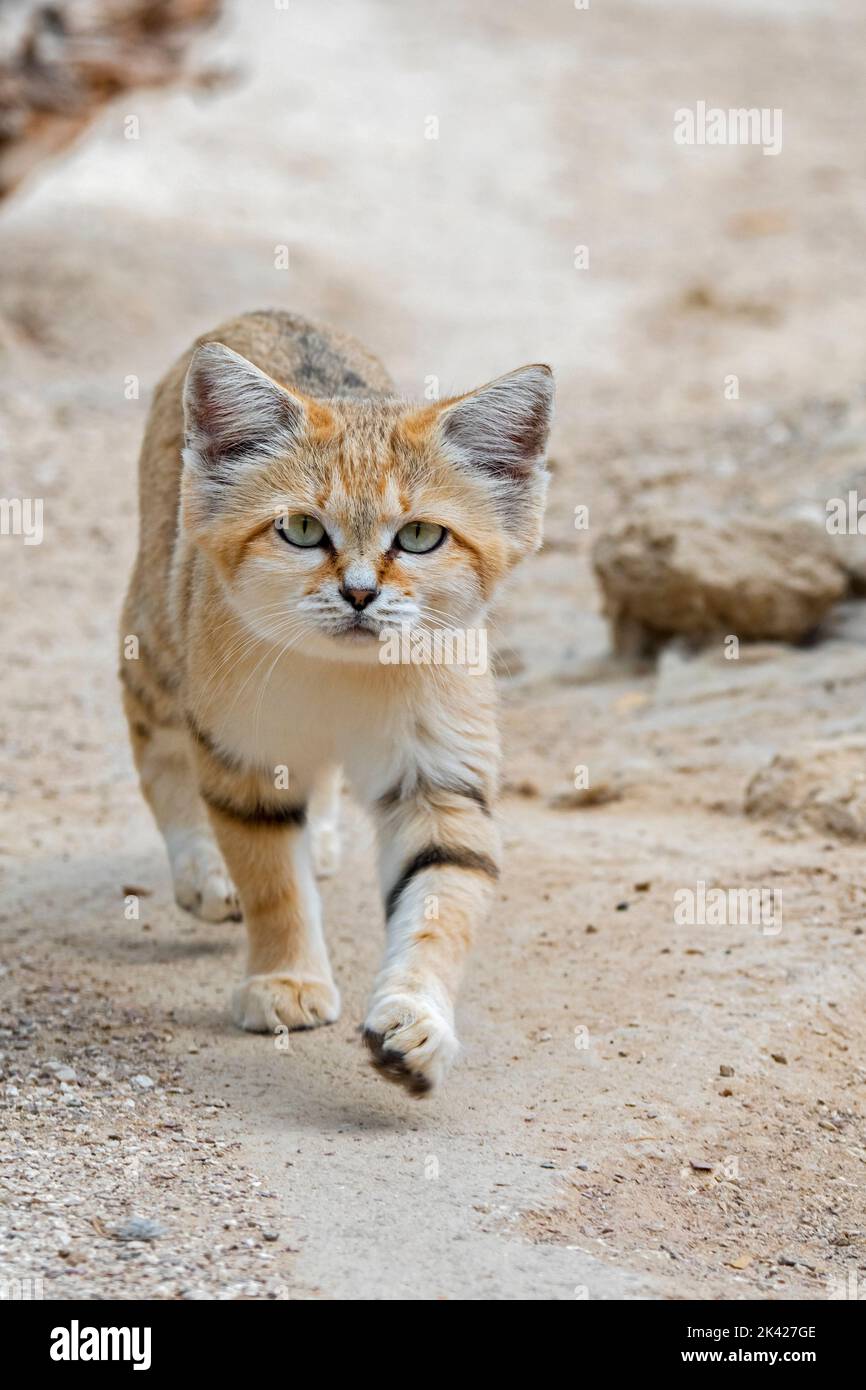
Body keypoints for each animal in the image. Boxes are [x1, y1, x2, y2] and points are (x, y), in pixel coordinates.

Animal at [118, 312, 553, 1095]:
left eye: (419, 536)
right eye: (300, 530)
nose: (358, 593)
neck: (343, 676)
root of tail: (266, 312)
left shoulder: (437, 779)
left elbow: (441, 899)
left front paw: (415, 1021)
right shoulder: (244, 754)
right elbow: (271, 881)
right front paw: (286, 981)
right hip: (158, 644)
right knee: (159, 756)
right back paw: (200, 870)